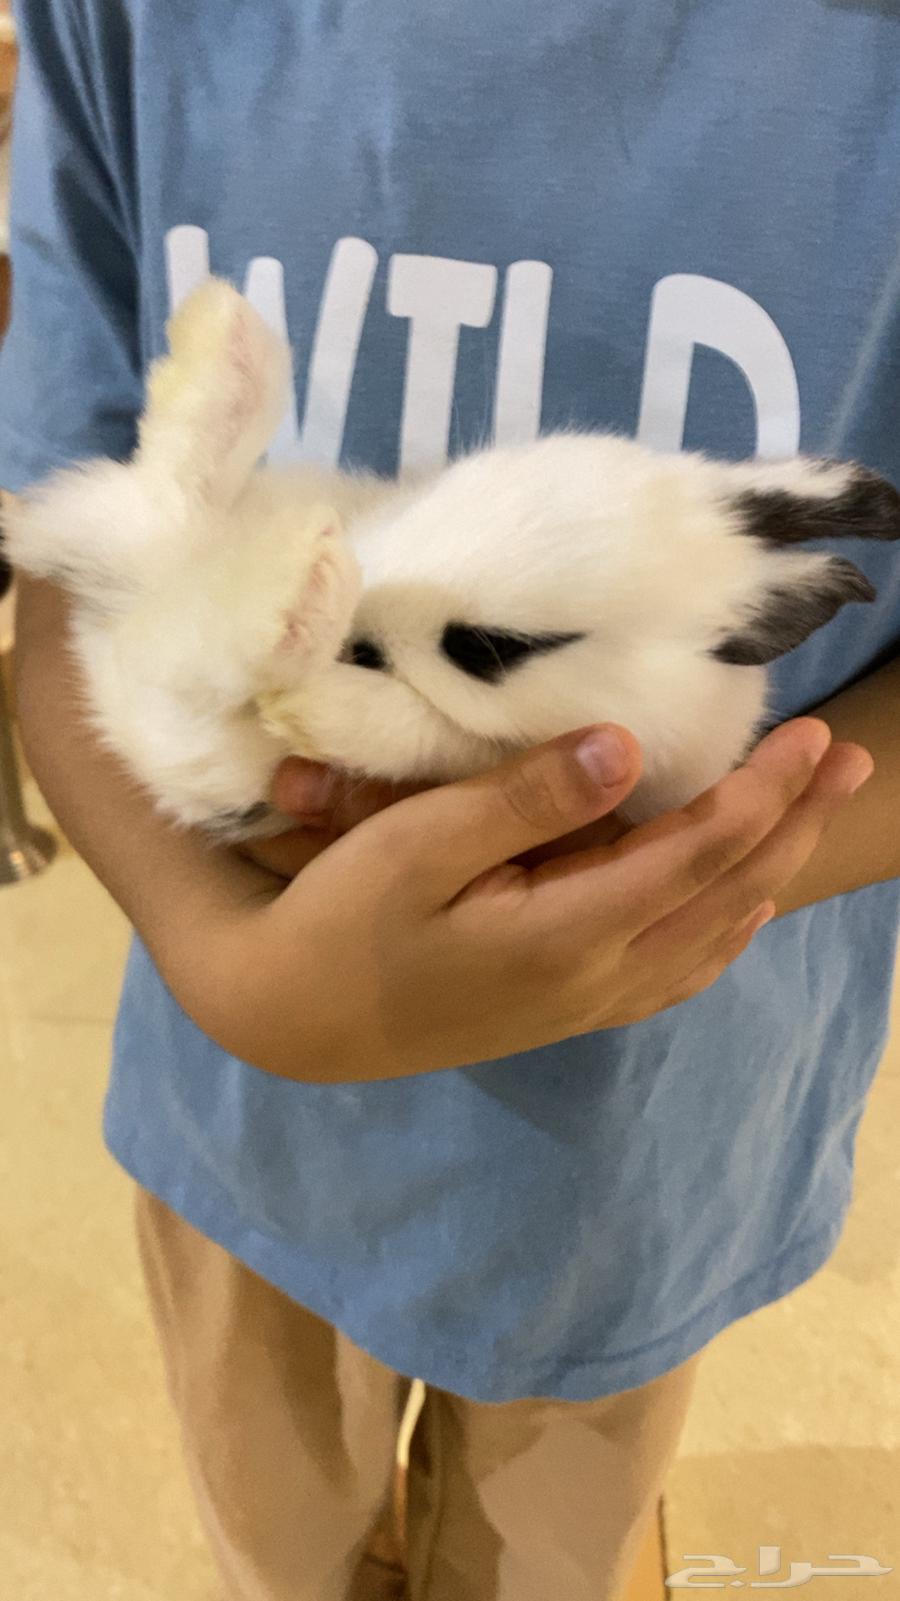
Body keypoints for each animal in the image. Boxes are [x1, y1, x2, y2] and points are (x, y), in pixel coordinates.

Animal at [6, 278, 899, 842]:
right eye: (452, 484)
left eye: (491, 647)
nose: (359, 626)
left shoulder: (473, 752)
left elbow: (409, 727)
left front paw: (312, 708)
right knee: (177, 481)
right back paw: (225, 335)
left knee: (200, 614)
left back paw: (303, 586)